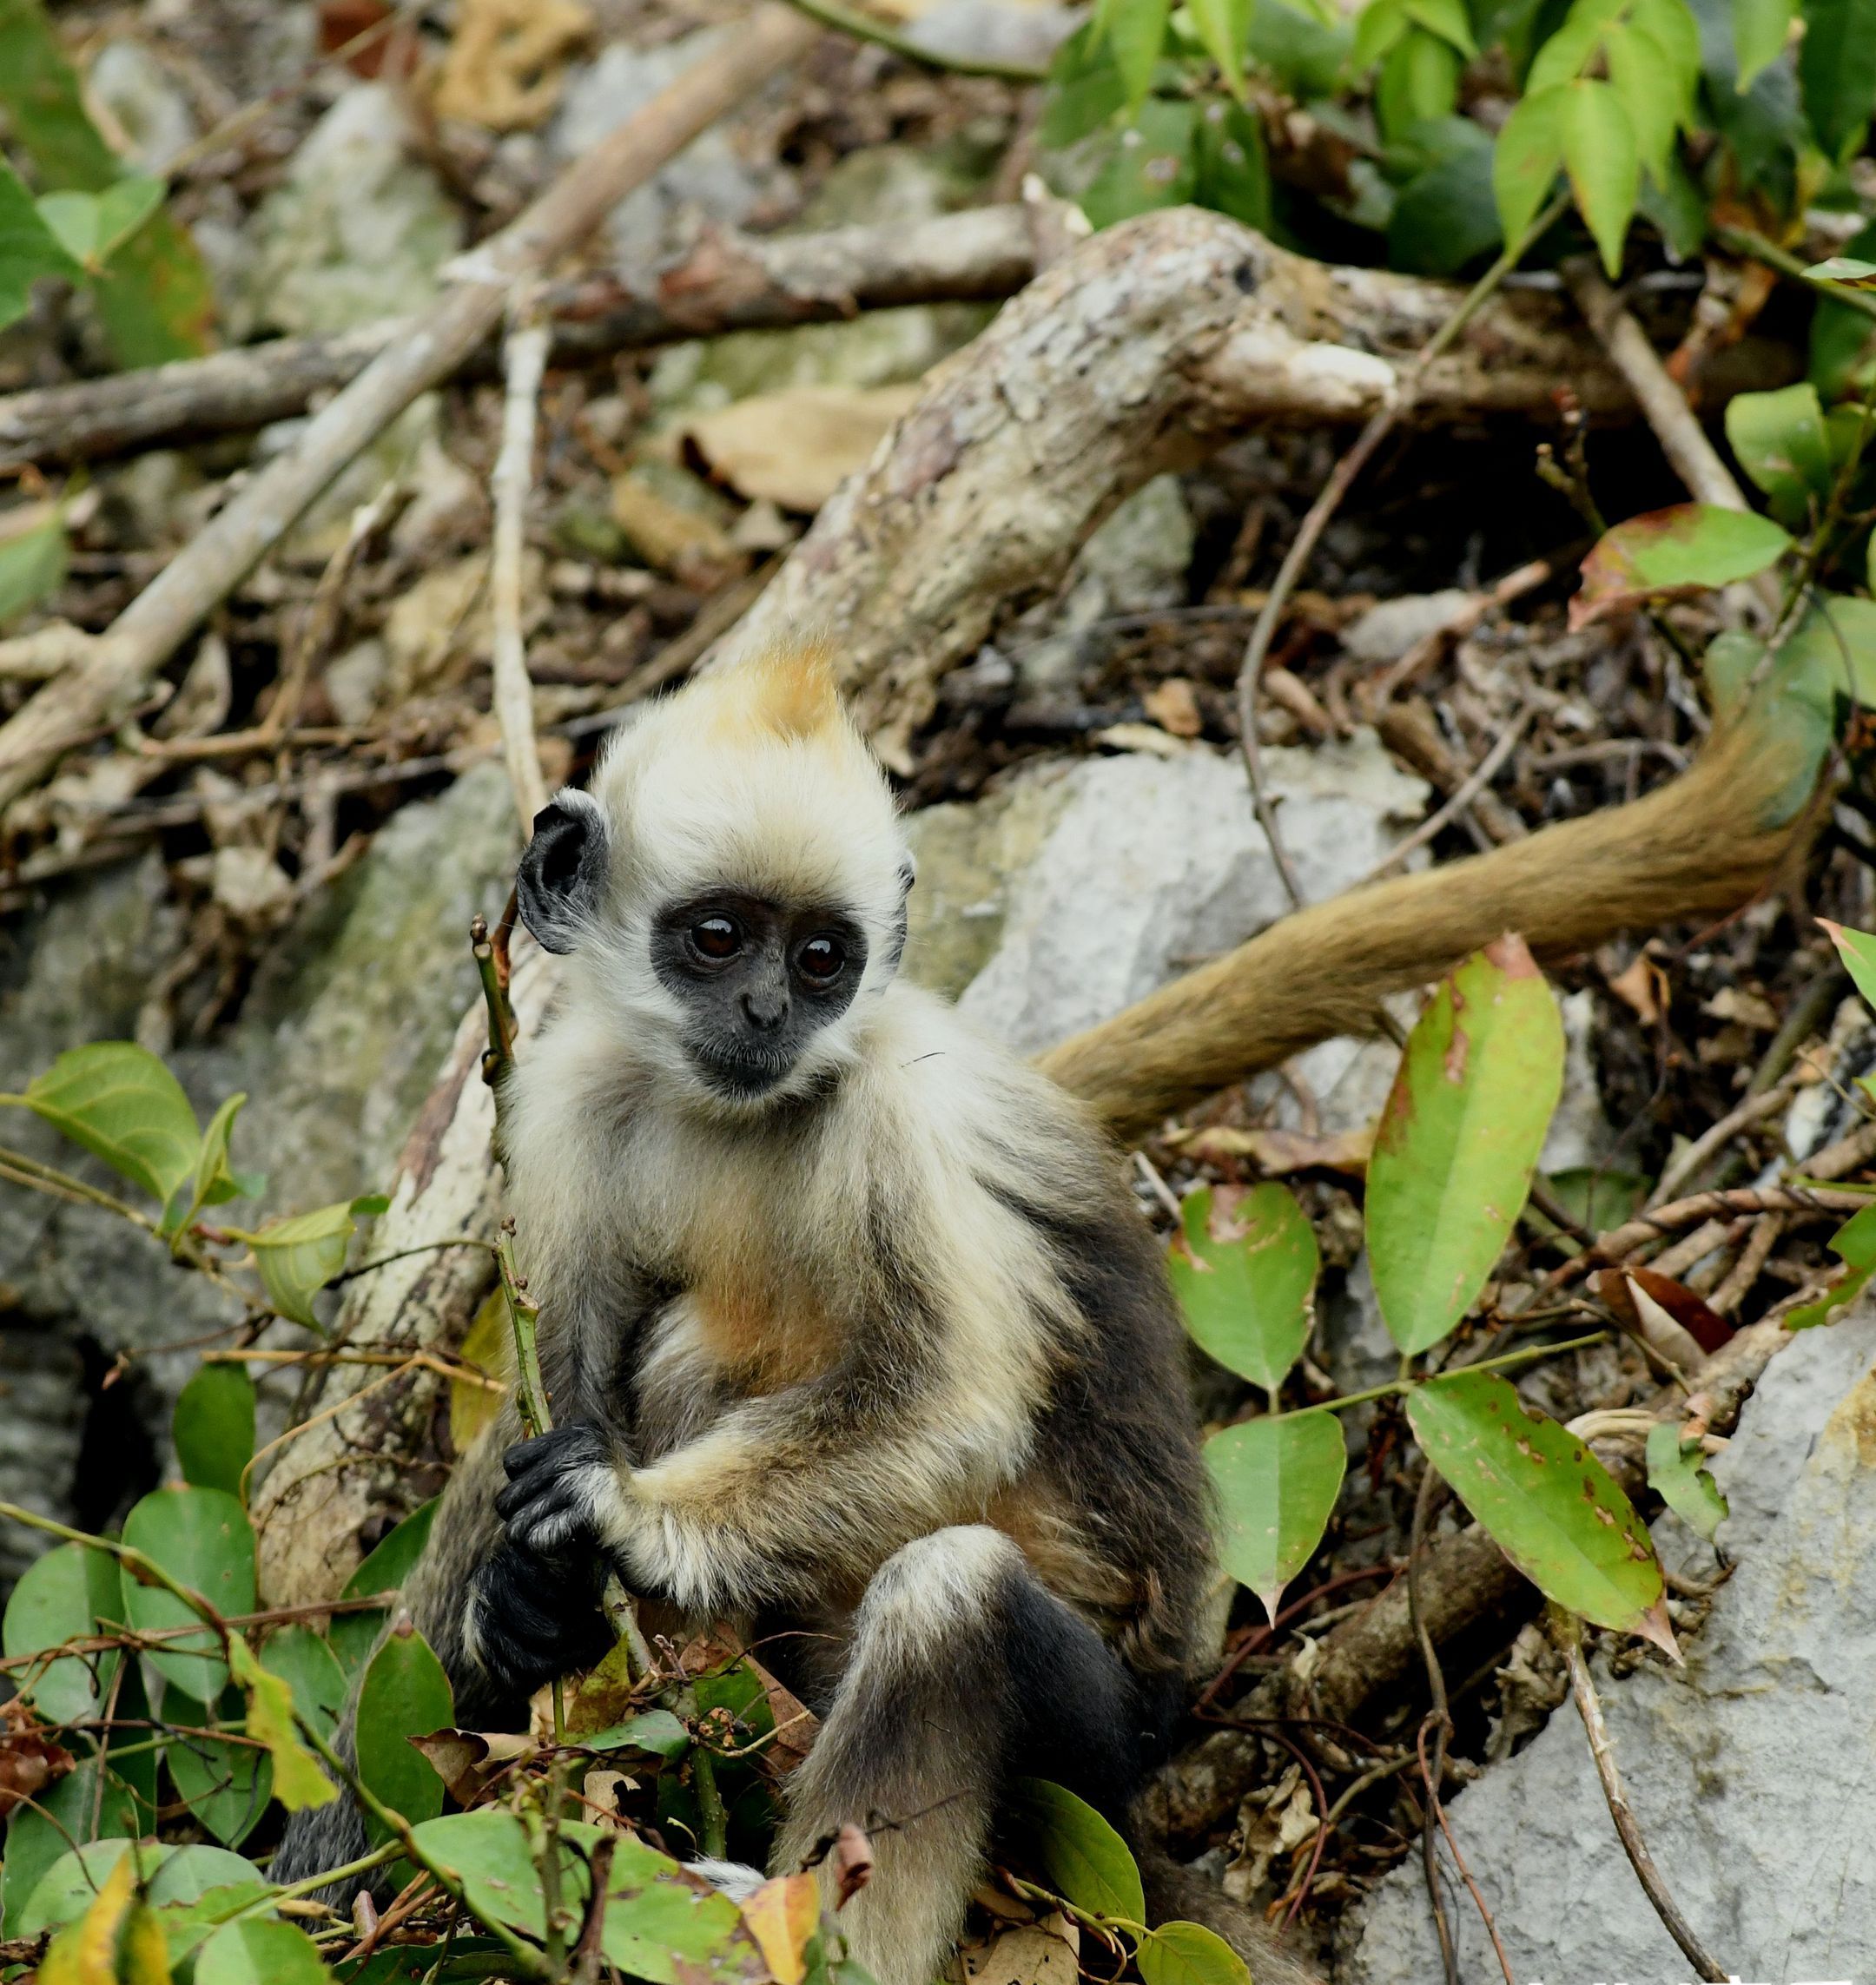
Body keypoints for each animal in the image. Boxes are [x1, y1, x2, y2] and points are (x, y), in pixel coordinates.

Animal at [274, 639, 1318, 1985]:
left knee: (947, 1597)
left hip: (1105, 1751)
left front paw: (626, 1518)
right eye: (719, 939)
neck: (736, 1111)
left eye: (823, 958)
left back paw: (792, 1934)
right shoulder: (565, 1096)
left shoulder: (899, 1117)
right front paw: (524, 1608)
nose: (770, 1012)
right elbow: (557, 1382)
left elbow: (952, 1407)